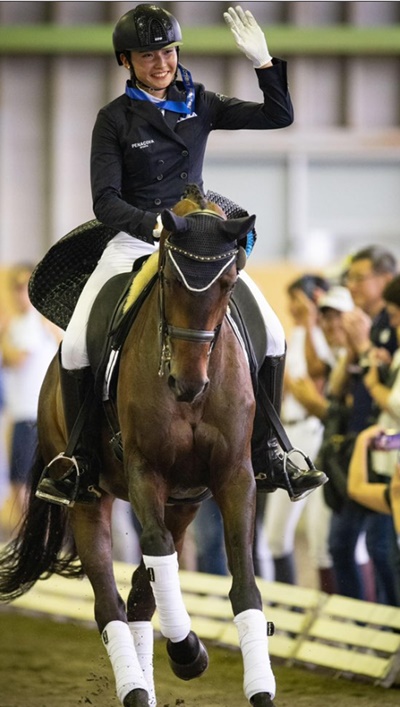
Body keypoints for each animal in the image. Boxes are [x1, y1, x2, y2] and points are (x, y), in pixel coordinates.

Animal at [0, 185, 276, 704]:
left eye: (229, 284)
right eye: (169, 280)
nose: (188, 384)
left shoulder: (233, 474)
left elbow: (242, 579)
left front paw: (258, 685)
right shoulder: (146, 470)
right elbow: (153, 548)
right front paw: (188, 652)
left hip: (186, 501)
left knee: (139, 595)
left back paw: (150, 677)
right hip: (88, 498)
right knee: (110, 602)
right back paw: (135, 683)